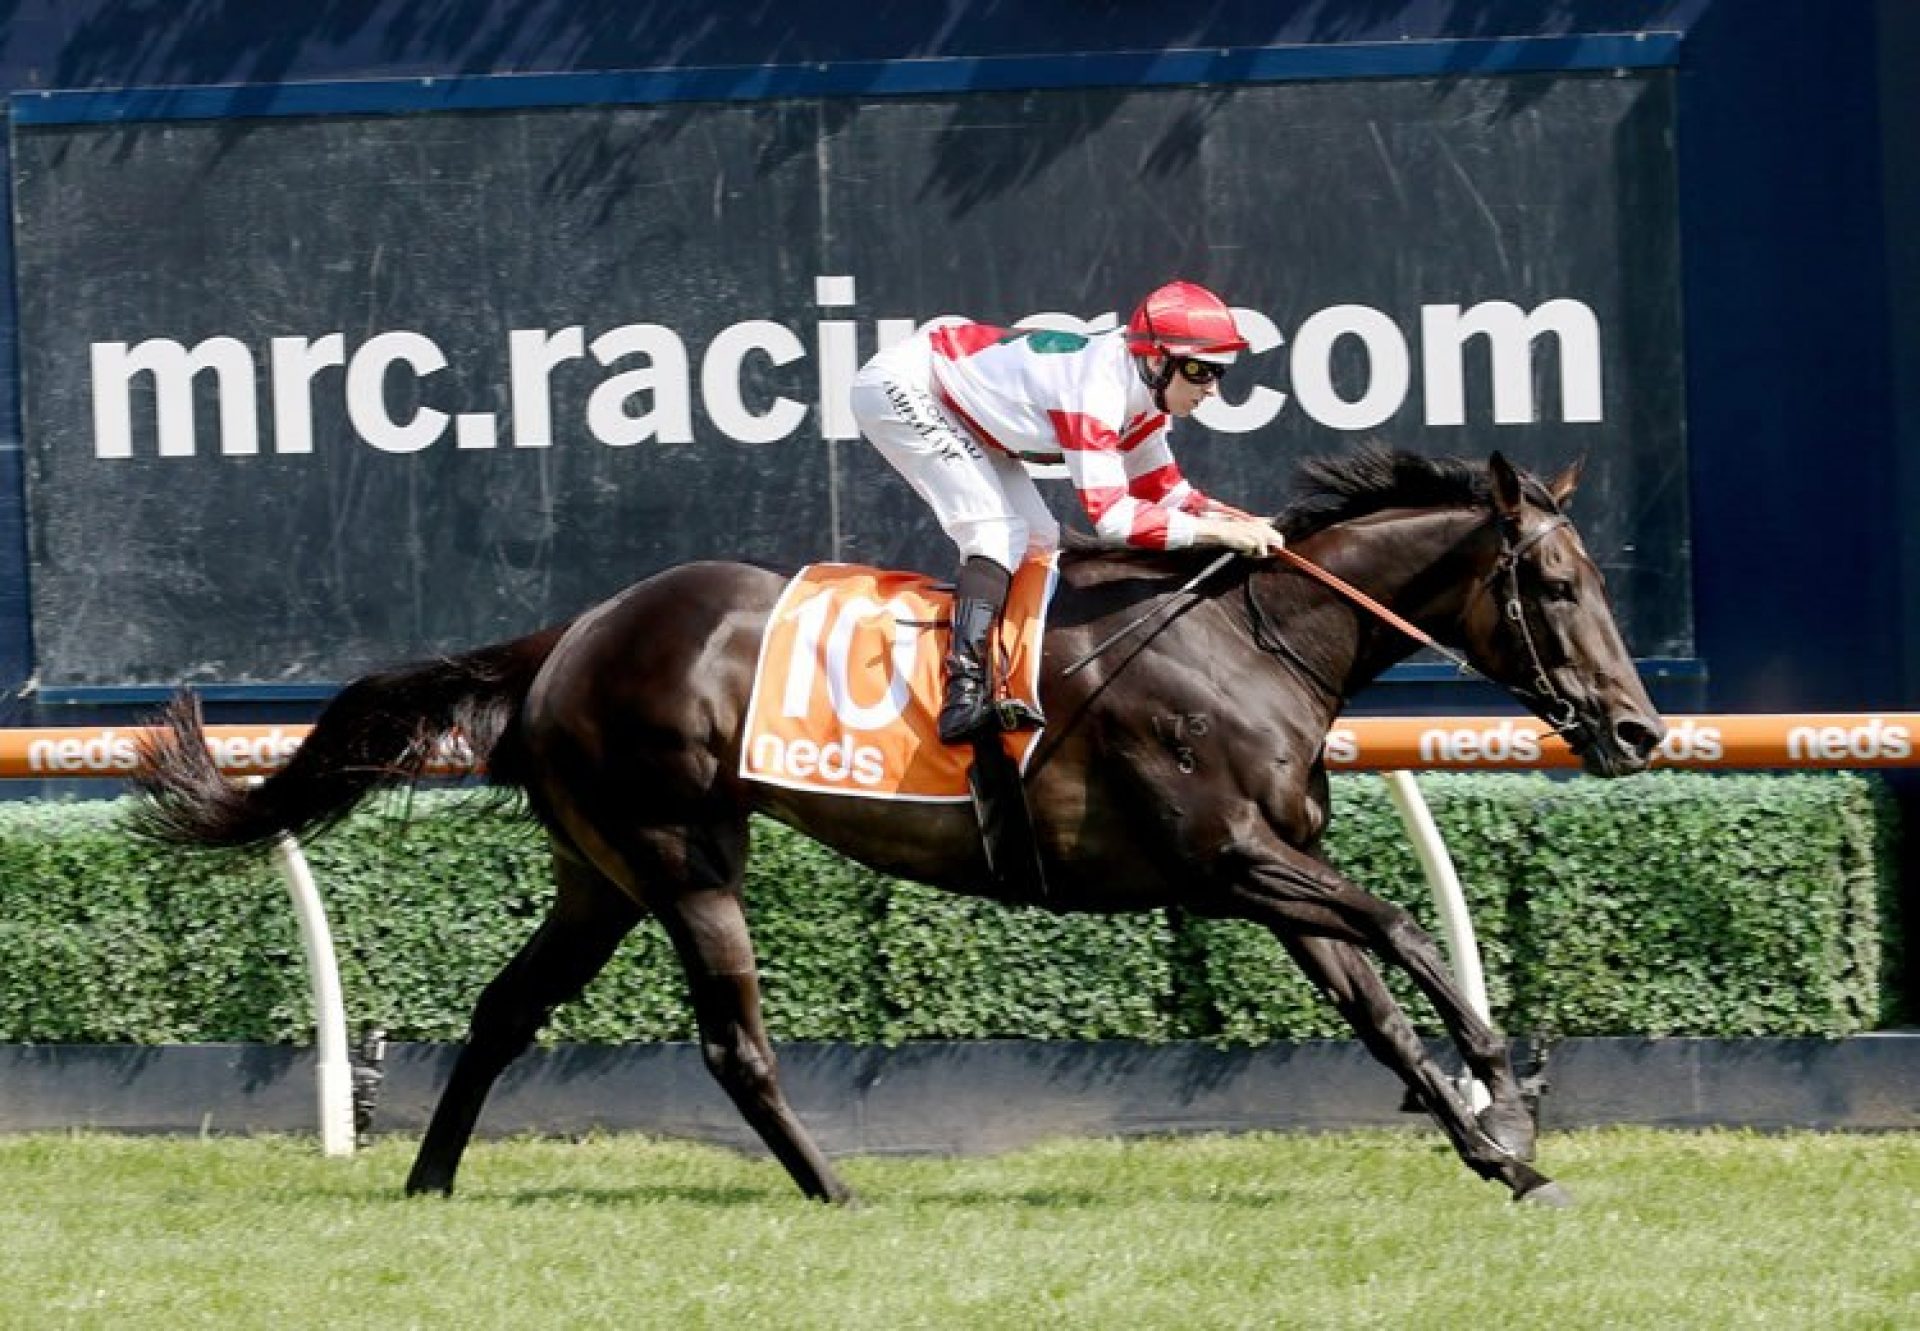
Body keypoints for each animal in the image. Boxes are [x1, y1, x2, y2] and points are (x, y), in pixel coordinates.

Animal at [131, 445, 1666, 1206]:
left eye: (1593, 575)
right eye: (1556, 582)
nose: (1642, 728)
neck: (1251, 636)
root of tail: (570, 631)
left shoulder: (1268, 869)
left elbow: (1377, 1003)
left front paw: (1501, 1153)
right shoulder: (1226, 858)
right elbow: (1404, 926)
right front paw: (1506, 1082)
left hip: (600, 869)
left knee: (507, 1009)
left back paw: (431, 1180)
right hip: (686, 855)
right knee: (732, 1043)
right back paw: (835, 1189)